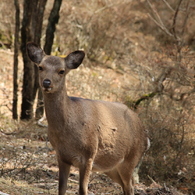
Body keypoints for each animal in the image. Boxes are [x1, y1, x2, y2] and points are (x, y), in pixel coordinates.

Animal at [26, 42, 150, 195]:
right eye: (40, 67)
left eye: (61, 71)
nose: (47, 82)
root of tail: (146, 136)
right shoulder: (61, 156)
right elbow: (61, 188)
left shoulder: (89, 154)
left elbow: (82, 190)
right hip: (111, 167)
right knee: (126, 186)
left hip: (130, 159)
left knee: (130, 187)